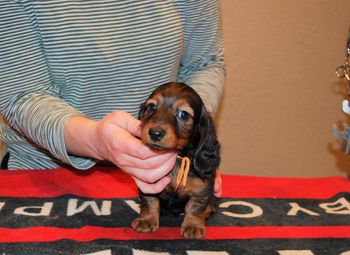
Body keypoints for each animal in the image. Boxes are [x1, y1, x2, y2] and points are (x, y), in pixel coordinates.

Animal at [132, 82, 221, 239]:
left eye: (183, 114)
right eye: (152, 107)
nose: (155, 133)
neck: (178, 158)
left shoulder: (202, 190)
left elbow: (195, 207)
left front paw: (193, 226)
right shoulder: (148, 182)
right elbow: (149, 200)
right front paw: (146, 220)